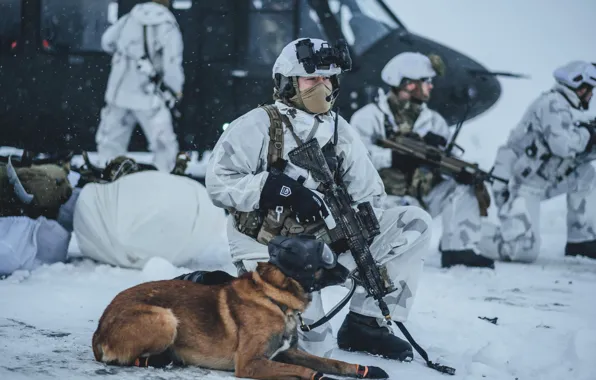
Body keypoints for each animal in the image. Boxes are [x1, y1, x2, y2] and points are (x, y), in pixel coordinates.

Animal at [92, 236, 392, 378]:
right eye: (326, 257)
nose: (350, 272)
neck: (274, 298)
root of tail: (99, 328)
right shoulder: (250, 364)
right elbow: (310, 372)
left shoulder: (290, 352)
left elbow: (333, 362)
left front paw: (365, 370)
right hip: (165, 318)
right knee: (129, 358)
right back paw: (164, 359)